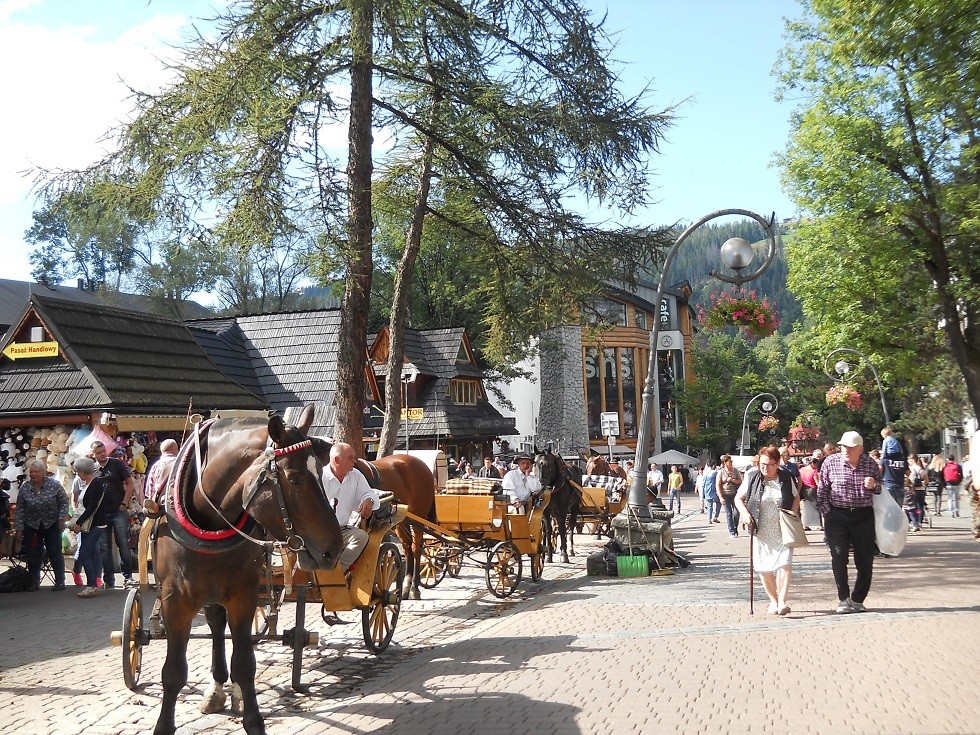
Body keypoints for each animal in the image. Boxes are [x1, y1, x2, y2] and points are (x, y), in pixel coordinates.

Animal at [149, 408, 340, 735]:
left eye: (322, 472)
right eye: (295, 478)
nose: (334, 548)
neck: (209, 521)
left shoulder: (243, 594)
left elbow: (244, 663)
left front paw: (253, 719)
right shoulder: (175, 600)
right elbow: (173, 672)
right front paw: (164, 725)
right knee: (215, 624)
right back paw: (216, 689)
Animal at [310, 440, 436, 600]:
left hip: (419, 515)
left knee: (416, 548)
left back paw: (414, 587)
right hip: (403, 522)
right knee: (408, 548)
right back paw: (407, 587)